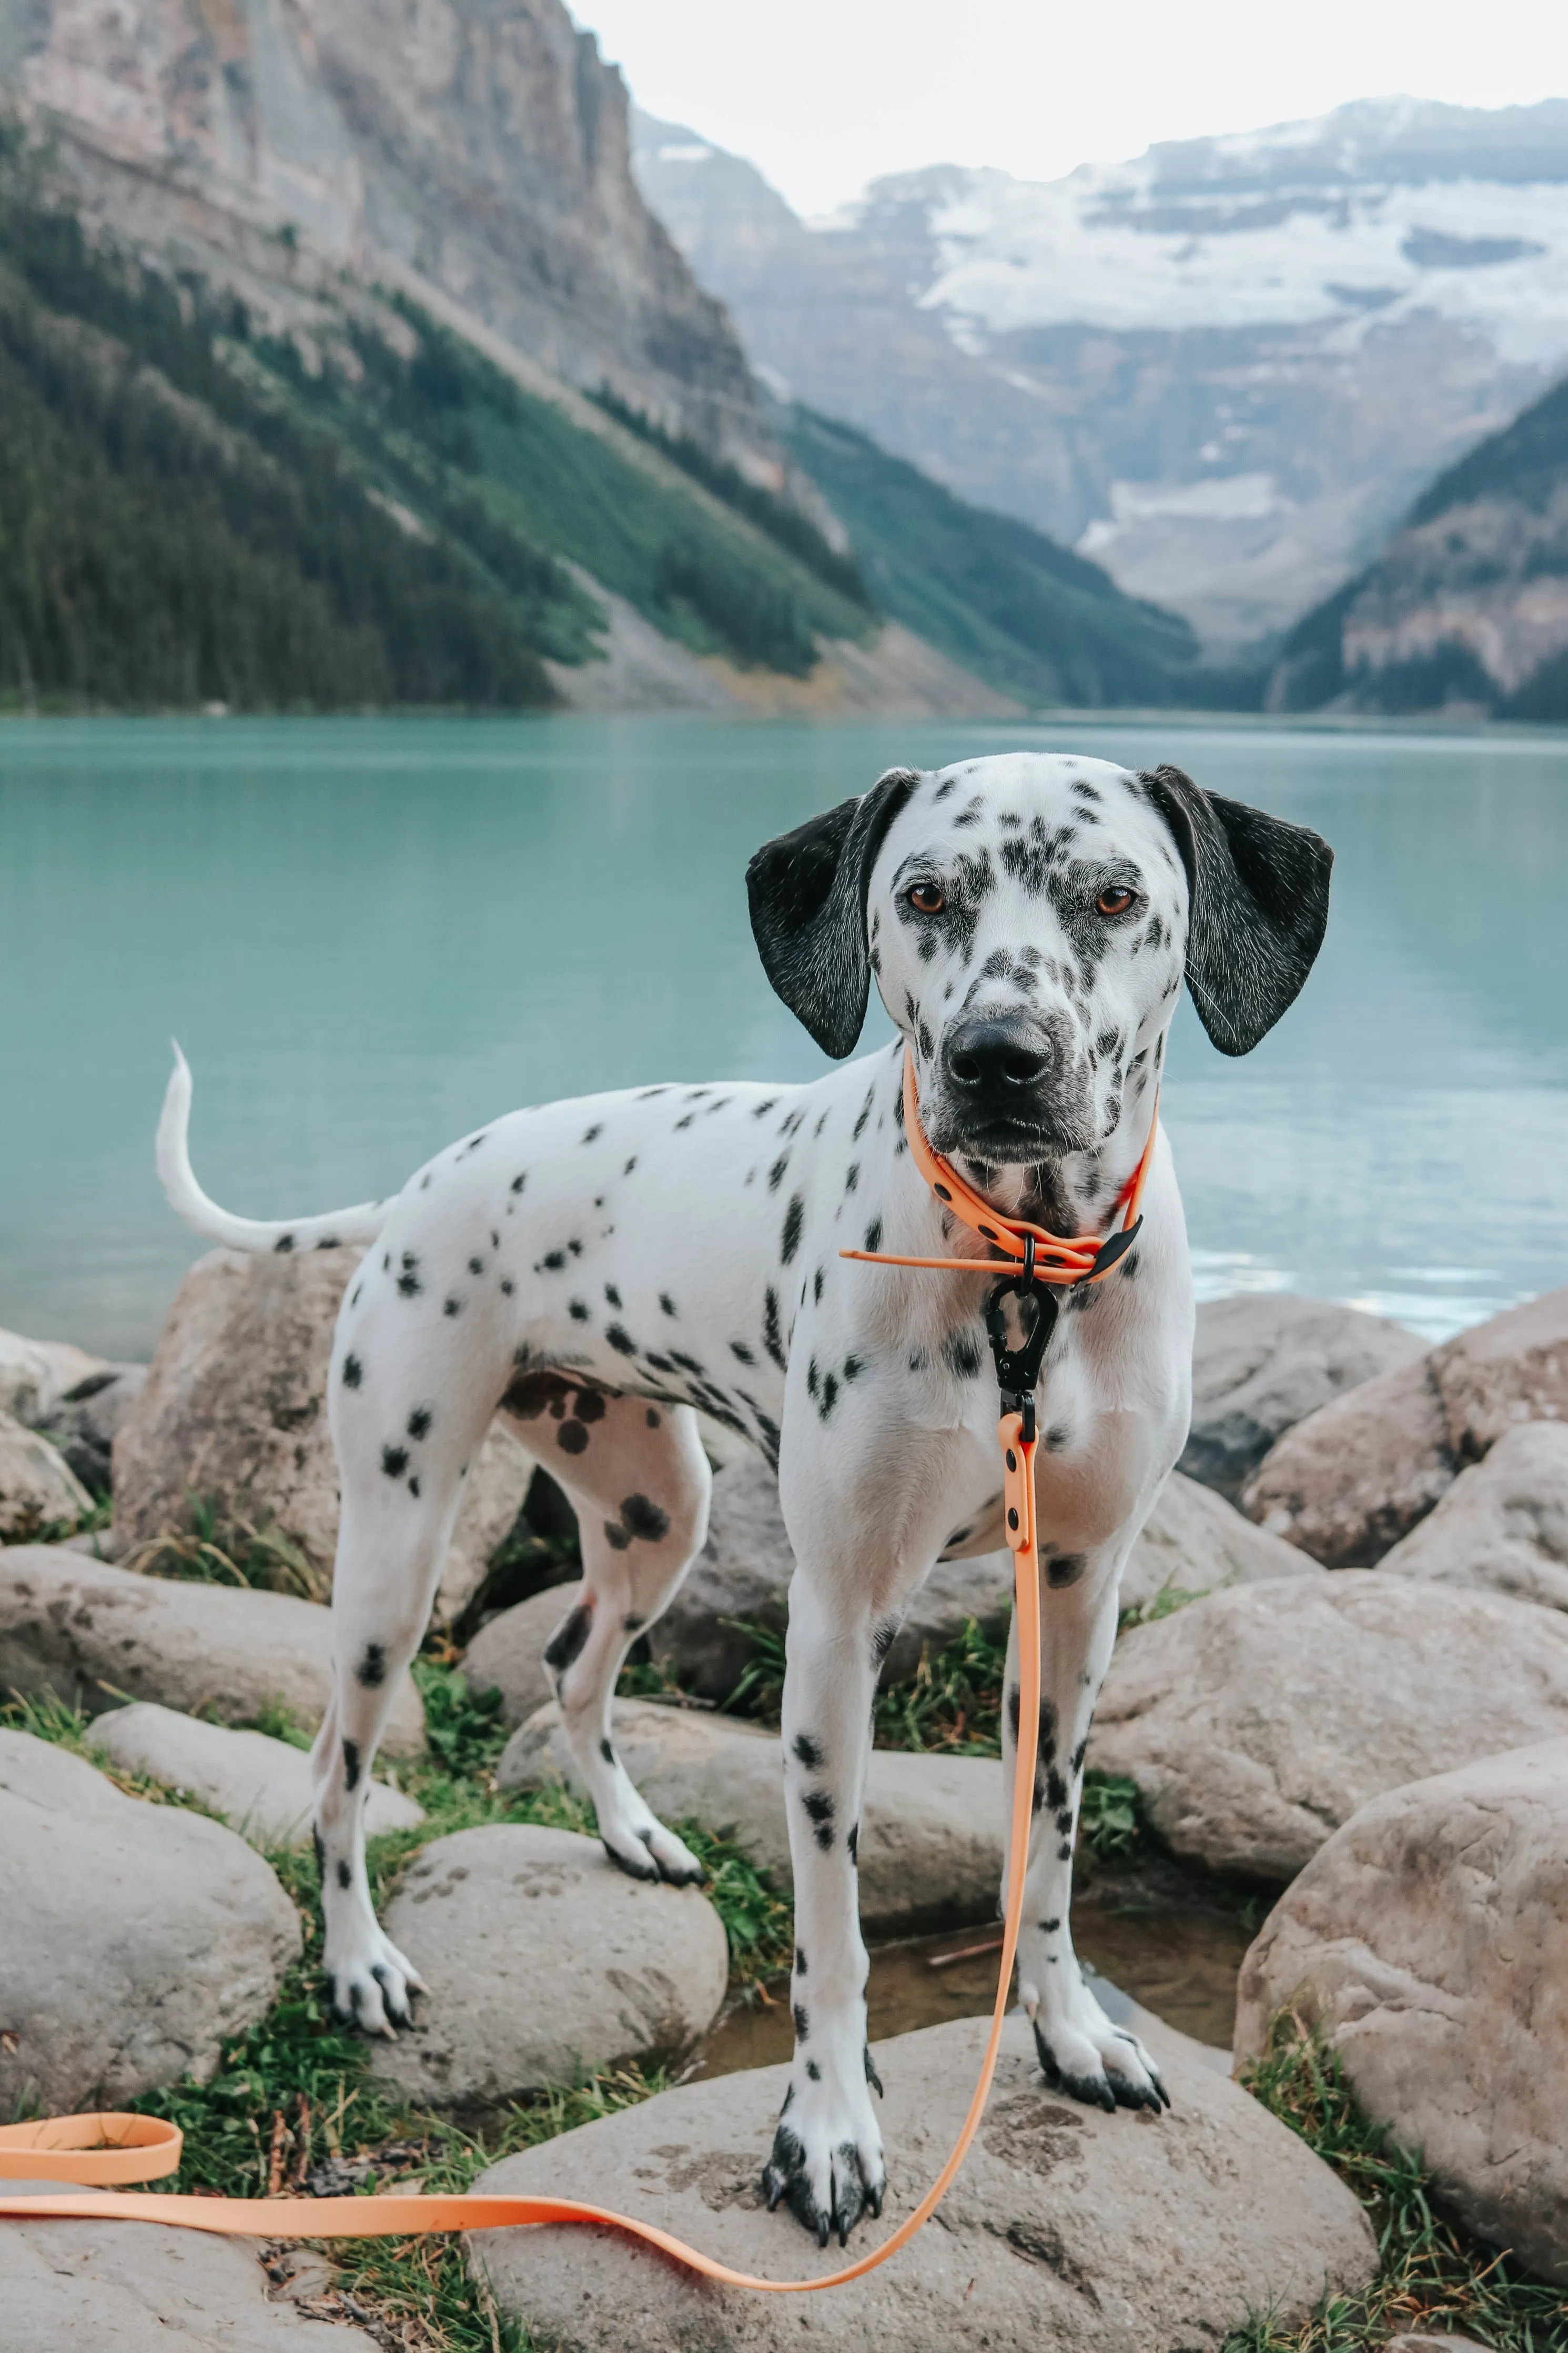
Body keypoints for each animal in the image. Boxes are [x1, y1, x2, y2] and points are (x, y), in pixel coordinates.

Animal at [156, 762, 1326, 2249]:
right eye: (921, 894)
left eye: (1114, 896)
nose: (997, 1055)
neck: (1019, 1279)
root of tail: (420, 1183)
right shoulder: (836, 1622)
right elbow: (830, 1930)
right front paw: (824, 2129)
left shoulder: (1074, 1599)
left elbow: (1048, 1853)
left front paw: (1067, 2029)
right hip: (394, 1554)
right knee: (336, 1772)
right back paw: (361, 1959)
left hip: (659, 1514)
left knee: (570, 1661)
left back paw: (630, 1832)